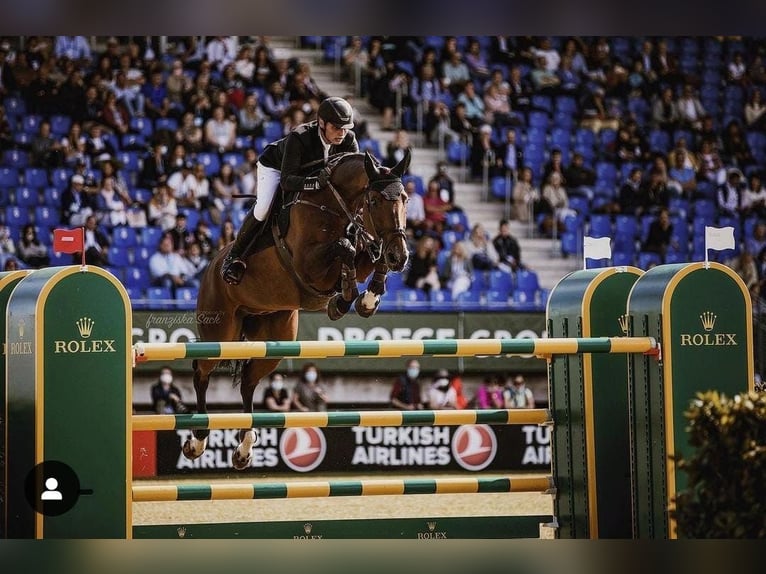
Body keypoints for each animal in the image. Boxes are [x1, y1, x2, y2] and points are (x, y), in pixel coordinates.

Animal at [182, 151, 412, 470]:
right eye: (375, 201)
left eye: (405, 199)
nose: (400, 257)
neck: (334, 203)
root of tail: (212, 267)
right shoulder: (309, 265)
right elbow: (346, 247)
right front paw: (344, 298)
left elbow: (369, 254)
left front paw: (367, 299)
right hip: (220, 333)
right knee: (200, 371)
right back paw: (198, 441)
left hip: (275, 340)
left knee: (249, 382)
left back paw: (243, 449)